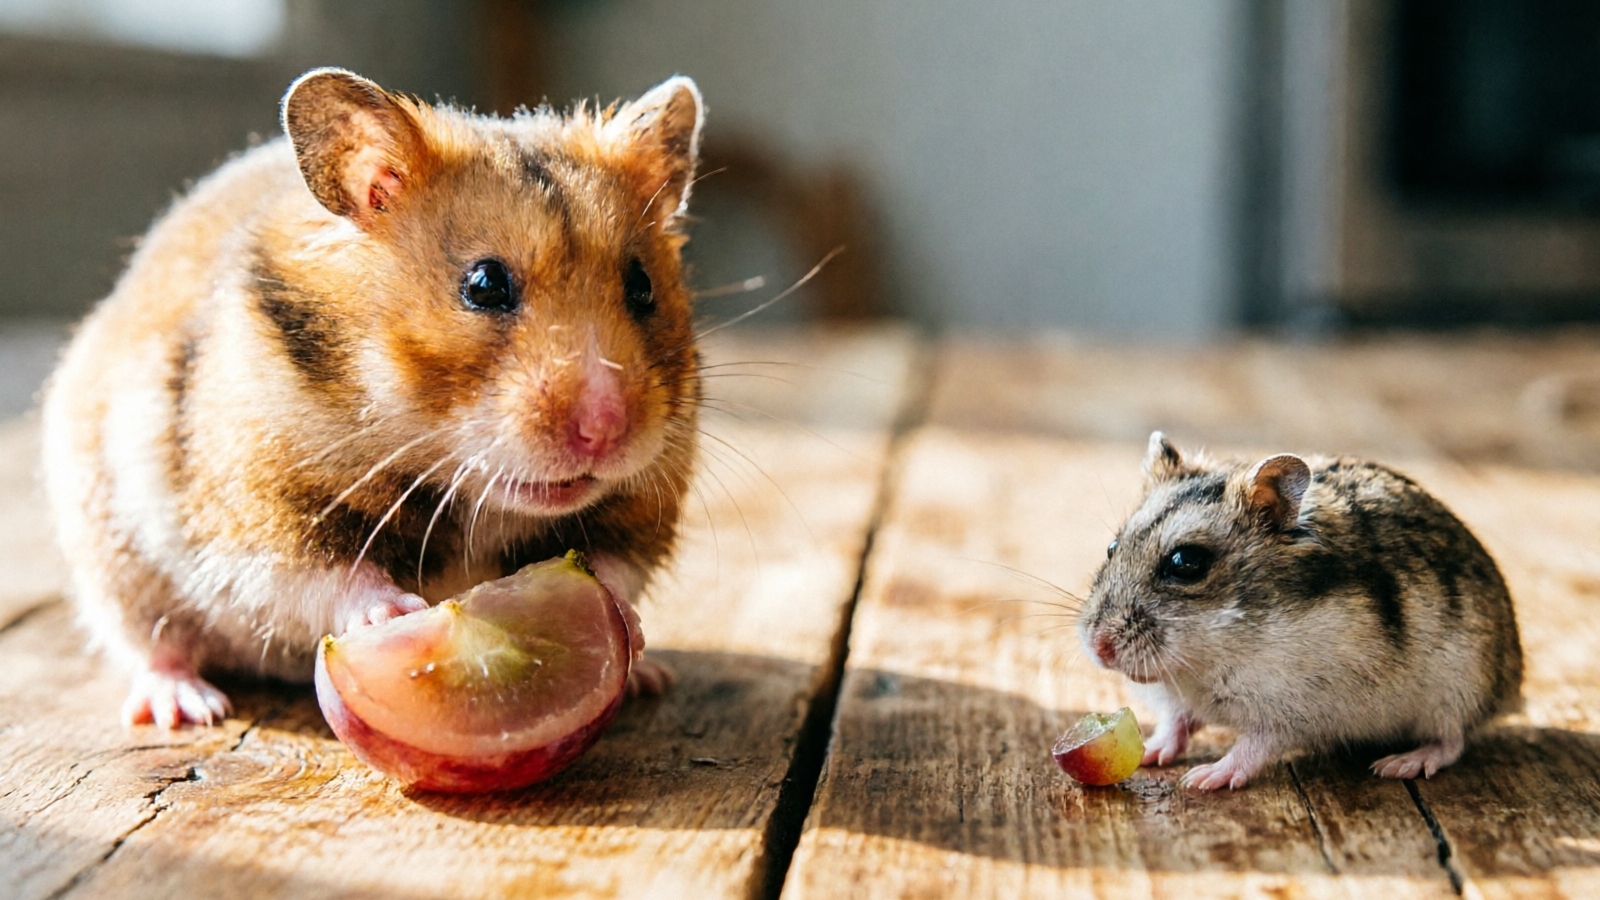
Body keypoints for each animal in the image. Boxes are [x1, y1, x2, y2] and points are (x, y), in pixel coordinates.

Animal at [40, 68, 705, 728]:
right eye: (485, 284)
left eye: (642, 286)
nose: (605, 431)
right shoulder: (252, 507)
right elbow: (322, 574)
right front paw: (400, 615)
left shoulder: (645, 504)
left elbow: (616, 568)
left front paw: (628, 630)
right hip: (113, 559)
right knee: (152, 643)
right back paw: (188, 707)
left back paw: (651, 677)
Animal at [1080, 432, 1522, 790]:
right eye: (1112, 548)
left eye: (1186, 563)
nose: (1098, 646)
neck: (1205, 658)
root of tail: (1513, 685)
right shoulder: (1180, 701)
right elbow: (1176, 725)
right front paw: (1151, 754)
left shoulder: (1296, 710)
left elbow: (1255, 745)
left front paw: (1203, 778)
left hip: (1458, 688)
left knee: (1452, 740)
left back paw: (1401, 764)